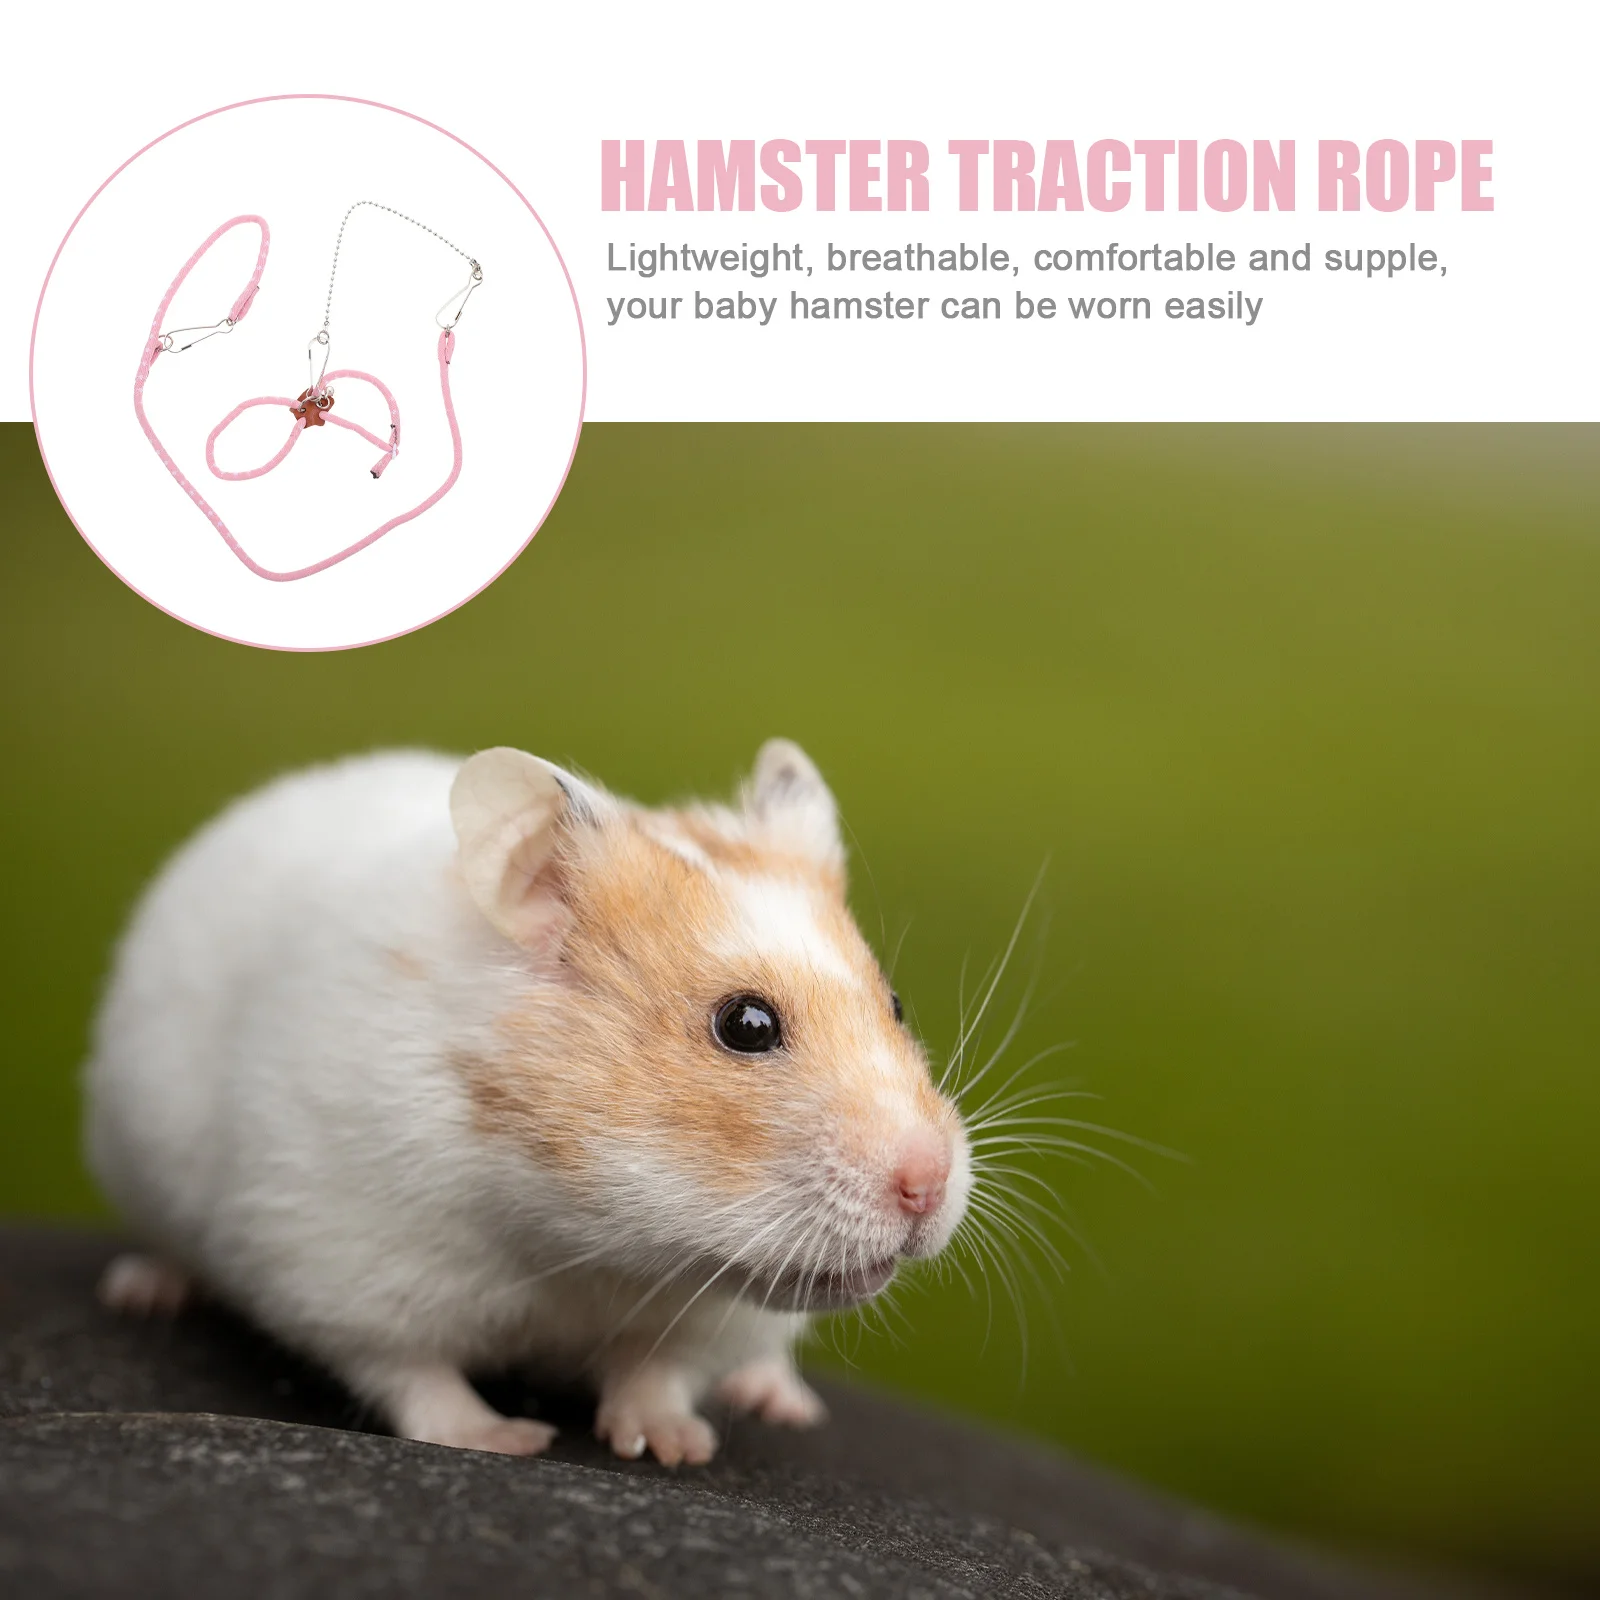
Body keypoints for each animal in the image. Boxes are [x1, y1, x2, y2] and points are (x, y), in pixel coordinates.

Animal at [84, 741, 971, 1464]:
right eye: (746, 1025)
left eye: (895, 1004)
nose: (927, 1186)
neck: (587, 1242)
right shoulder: (339, 1259)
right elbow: (414, 1374)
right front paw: (508, 1440)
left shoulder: (705, 1317)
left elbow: (657, 1371)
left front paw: (674, 1447)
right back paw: (144, 1291)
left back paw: (778, 1399)